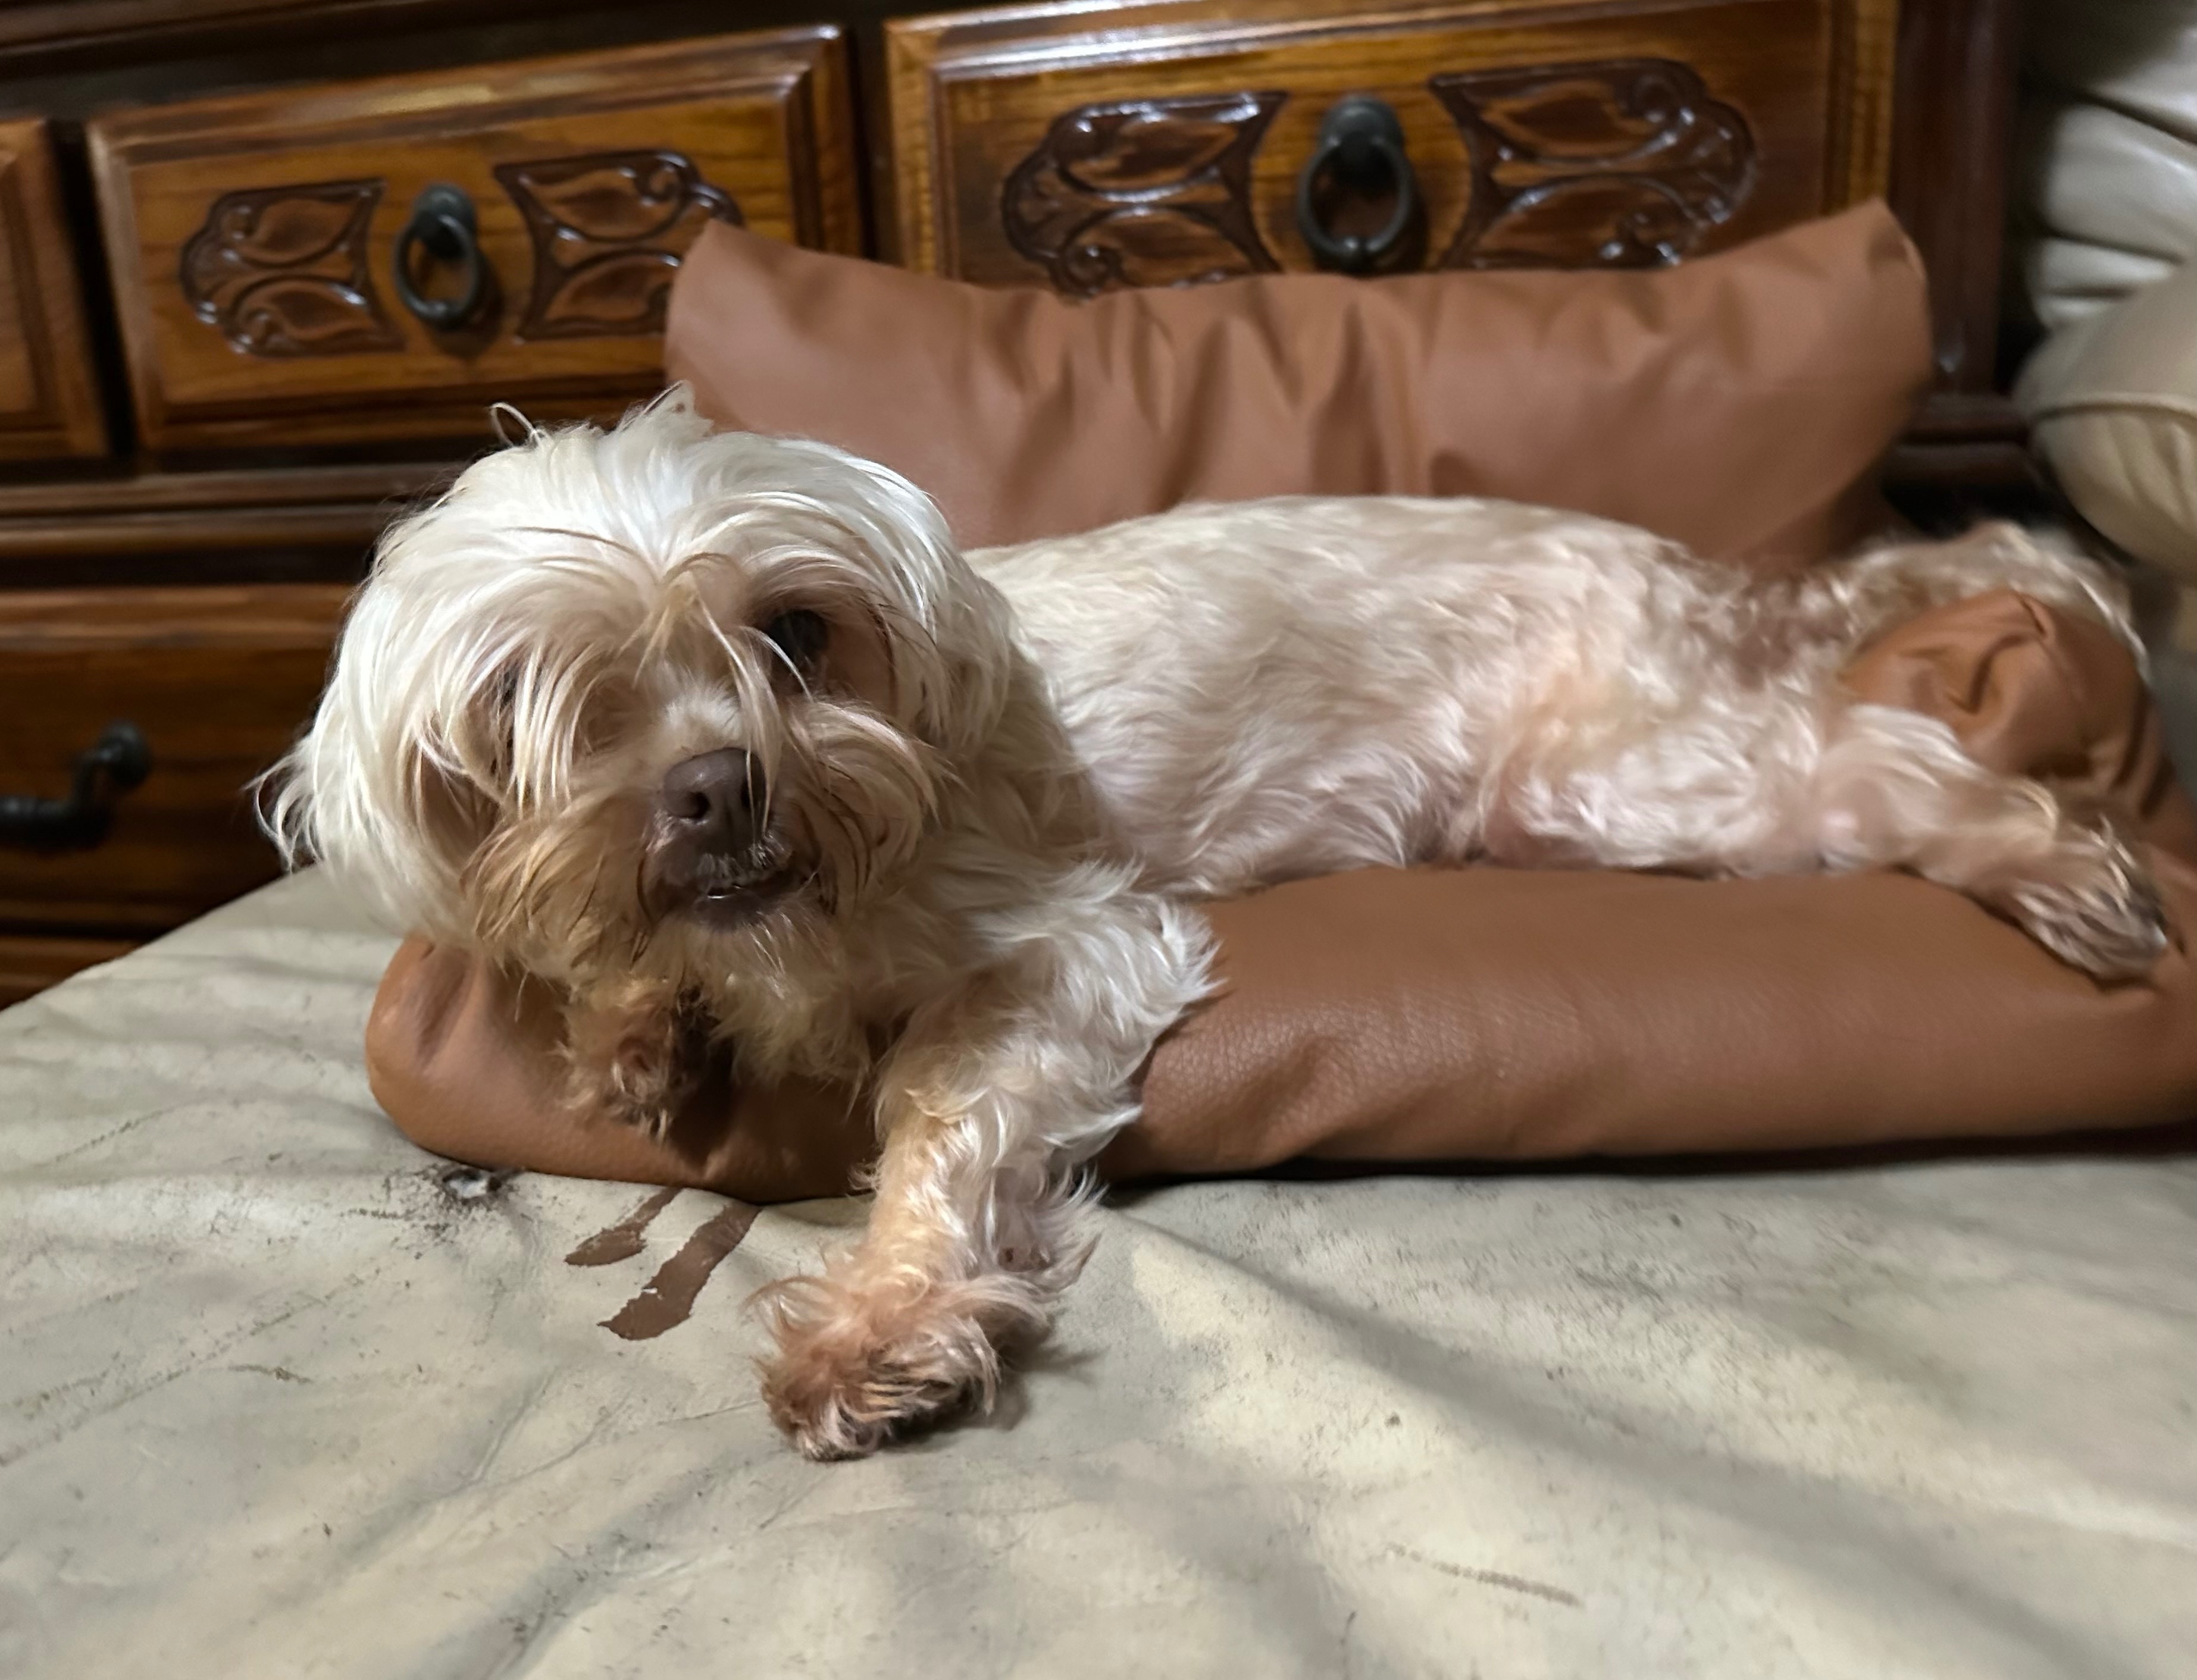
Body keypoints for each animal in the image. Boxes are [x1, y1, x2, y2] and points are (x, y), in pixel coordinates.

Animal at [270, 391, 2165, 1459]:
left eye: (798, 632)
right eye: (541, 700)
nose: (725, 790)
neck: (803, 905)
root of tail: (1713, 575)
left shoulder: (1069, 944)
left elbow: (935, 1122)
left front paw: (882, 1323)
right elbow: (626, 965)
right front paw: (631, 1023)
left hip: (1608, 778)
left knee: (1881, 761)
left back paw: (2056, 865)